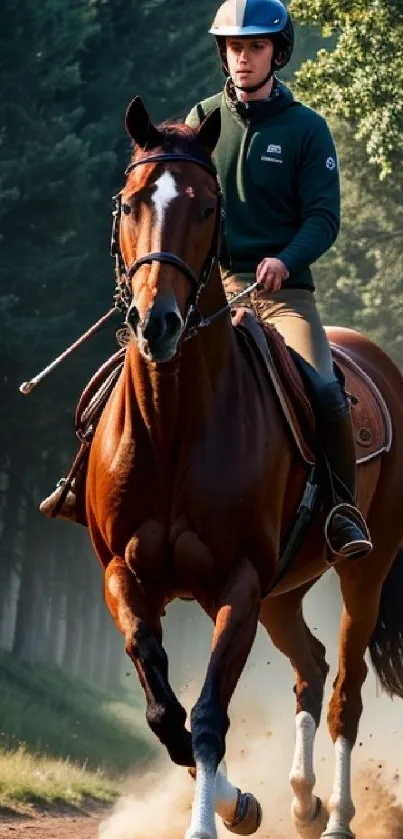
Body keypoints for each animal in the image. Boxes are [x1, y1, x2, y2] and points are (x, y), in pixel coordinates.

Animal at [86, 95, 403, 836]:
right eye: (130, 201)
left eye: (207, 207)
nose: (158, 323)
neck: (172, 427)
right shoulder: (125, 576)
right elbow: (166, 713)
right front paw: (242, 803)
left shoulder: (237, 582)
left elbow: (206, 715)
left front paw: (212, 818)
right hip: (284, 590)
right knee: (311, 666)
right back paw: (302, 800)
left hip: (363, 572)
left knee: (345, 689)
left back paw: (338, 814)